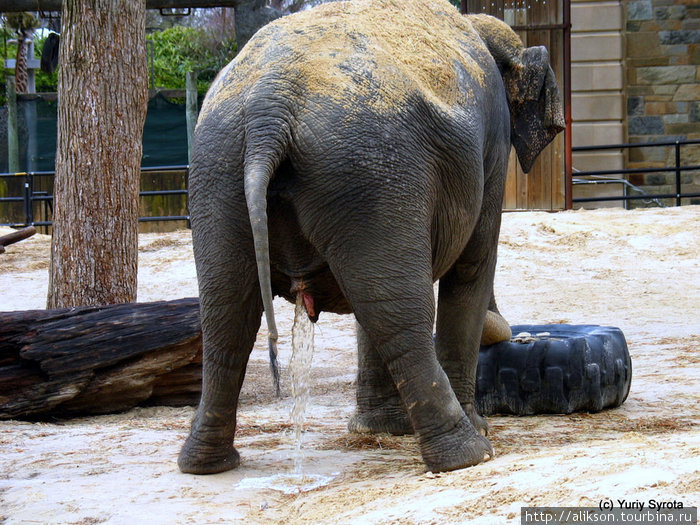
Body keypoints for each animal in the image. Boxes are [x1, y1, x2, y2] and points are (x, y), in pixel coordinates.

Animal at [178, 0, 568, 474]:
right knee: (401, 310)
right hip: (371, 174)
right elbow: (473, 265)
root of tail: (269, 106)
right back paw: (469, 453)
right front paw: (470, 428)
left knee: (228, 313)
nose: (512, 332)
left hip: (220, 174)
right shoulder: (491, 150)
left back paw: (205, 464)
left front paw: (381, 429)